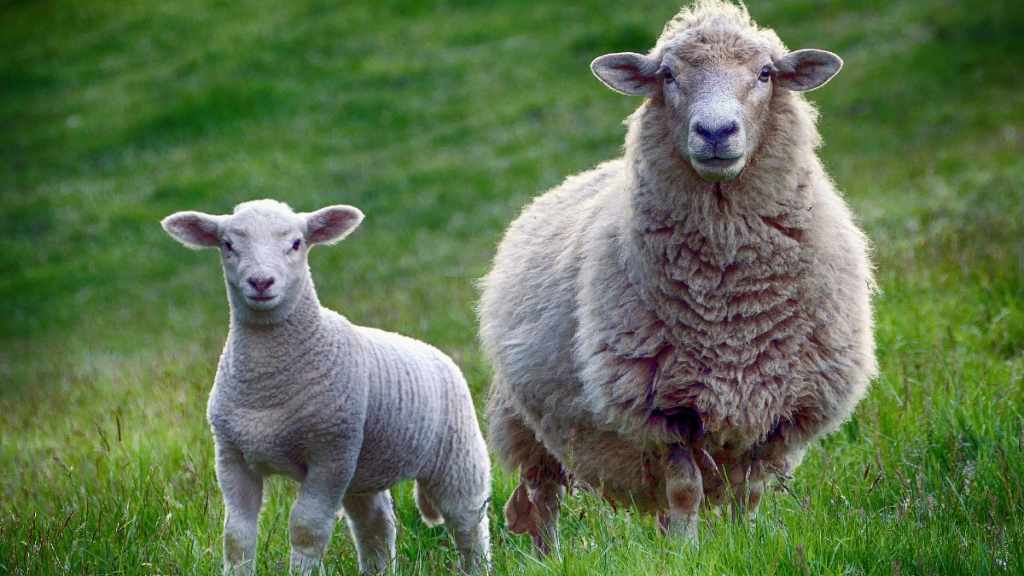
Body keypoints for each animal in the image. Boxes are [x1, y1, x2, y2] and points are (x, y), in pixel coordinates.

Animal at [161, 199, 491, 575]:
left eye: (296, 244)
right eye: (228, 245)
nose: (261, 282)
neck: (266, 385)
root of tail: (437, 353)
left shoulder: (330, 454)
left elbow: (307, 528)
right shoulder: (231, 455)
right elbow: (236, 535)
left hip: (457, 455)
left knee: (468, 522)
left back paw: (477, 563)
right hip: (364, 469)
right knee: (376, 527)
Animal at [479, 0, 876, 551]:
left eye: (766, 73)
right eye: (668, 75)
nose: (715, 132)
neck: (732, 306)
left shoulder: (778, 408)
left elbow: (750, 492)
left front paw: (744, 544)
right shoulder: (664, 410)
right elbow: (686, 489)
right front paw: (686, 553)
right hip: (525, 424)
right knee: (543, 500)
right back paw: (551, 556)